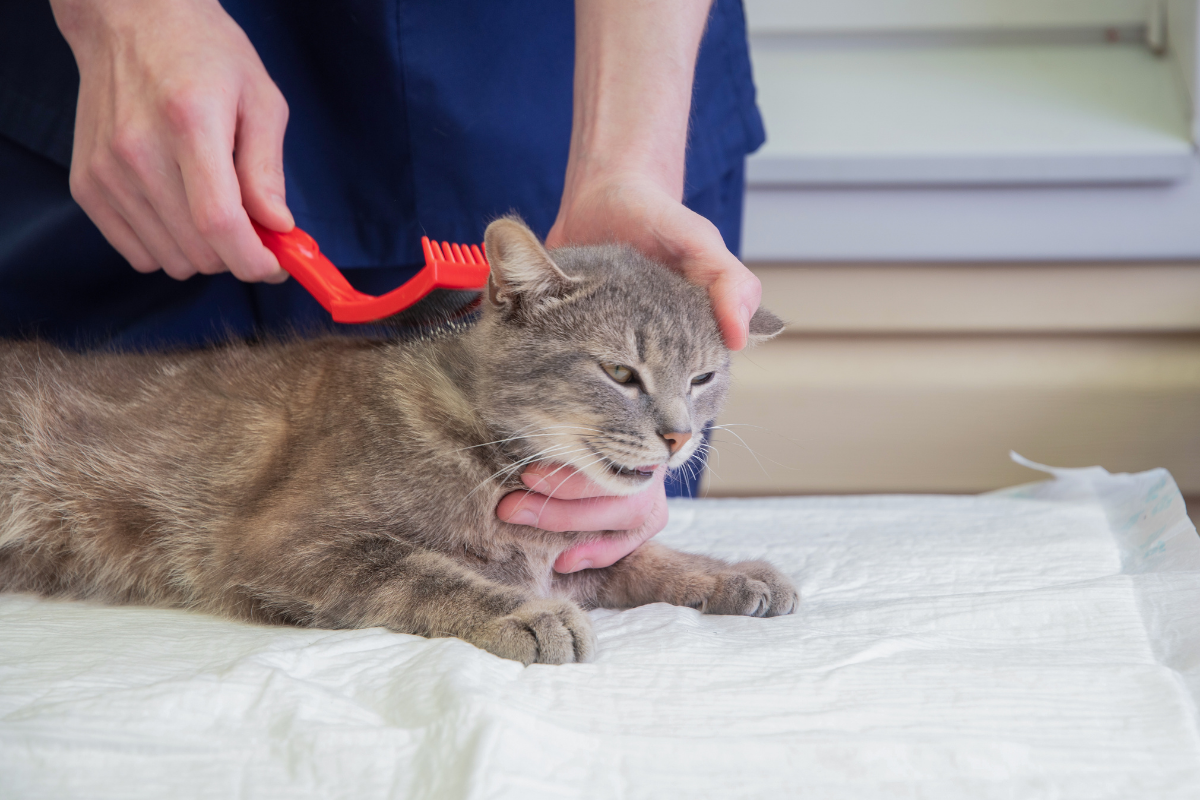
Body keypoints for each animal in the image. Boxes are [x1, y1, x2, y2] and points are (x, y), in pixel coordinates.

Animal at [0, 215, 796, 666]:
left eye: (702, 377)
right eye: (621, 372)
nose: (678, 436)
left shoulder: (578, 554)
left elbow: (644, 557)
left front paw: (731, 574)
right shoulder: (289, 544)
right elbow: (423, 572)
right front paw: (524, 613)